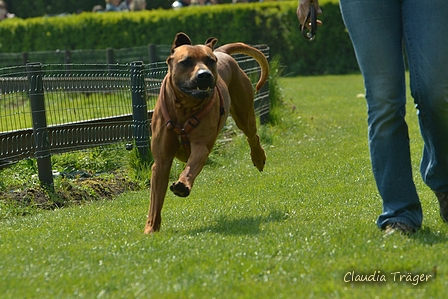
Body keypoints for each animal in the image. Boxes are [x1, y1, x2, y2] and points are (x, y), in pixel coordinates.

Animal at [145, 32, 268, 234]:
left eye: (210, 61)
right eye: (186, 61)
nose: (204, 75)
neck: (184, 107)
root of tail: (221, 51)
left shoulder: (201, 146)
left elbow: (191, 165)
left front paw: (182, 184)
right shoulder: (161, 161)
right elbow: (156, 199)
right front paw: (150, 229)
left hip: (244, 111)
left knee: (252, 134)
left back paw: (258, 157)